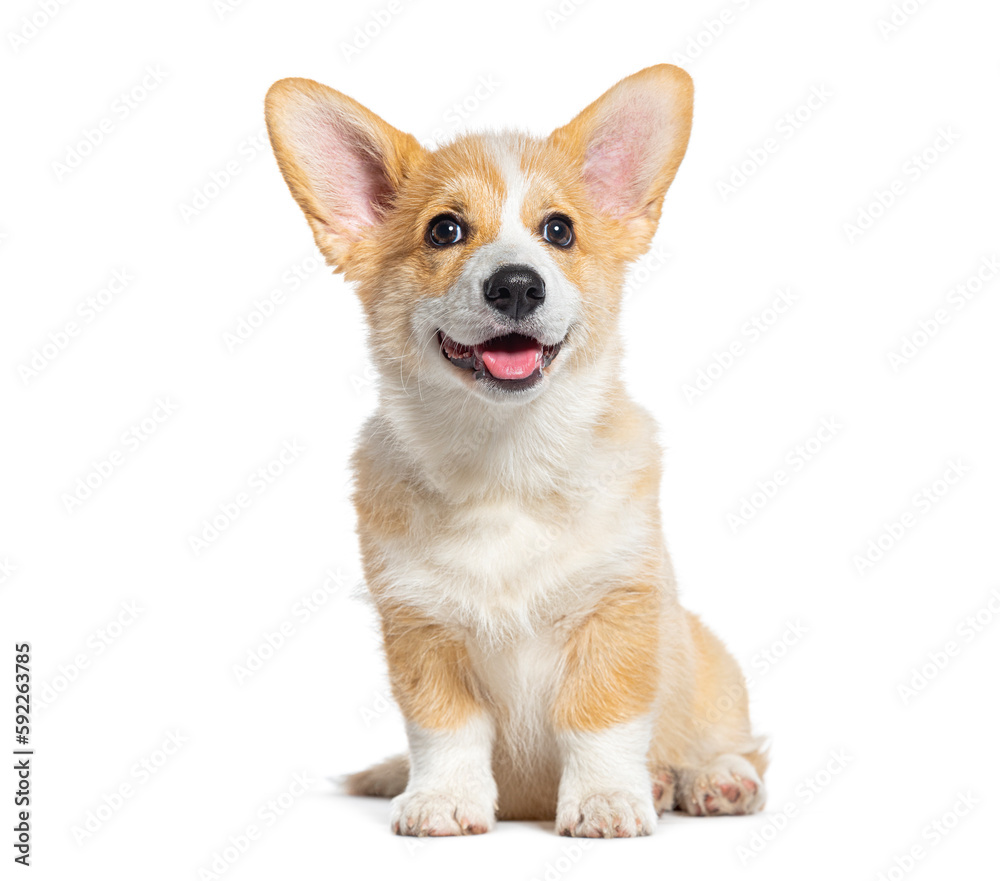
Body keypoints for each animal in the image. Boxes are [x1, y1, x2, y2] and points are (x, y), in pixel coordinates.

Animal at [264, 65, 764, 836]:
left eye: (559, 229)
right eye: (444, 229)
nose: (518, 284)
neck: (505, 463)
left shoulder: (617, 607)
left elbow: (601, 719)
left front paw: (607, 800)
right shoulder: (420, 627)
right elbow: (445, 729)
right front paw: (442, 800)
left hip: (710, 672)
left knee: (734, 742)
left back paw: (713, 779)